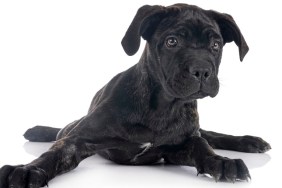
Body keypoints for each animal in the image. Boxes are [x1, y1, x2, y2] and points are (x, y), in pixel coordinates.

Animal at [0, 3, 270, 187]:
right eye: (172, 41)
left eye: (215, 45)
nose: (202, 71)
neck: (163, 106)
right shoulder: (78, 138)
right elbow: (56, 153)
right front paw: (27, 170)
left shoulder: (178, 146)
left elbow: (201, 145)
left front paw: (221, 162)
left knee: (209, 134)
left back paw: (249, 141)